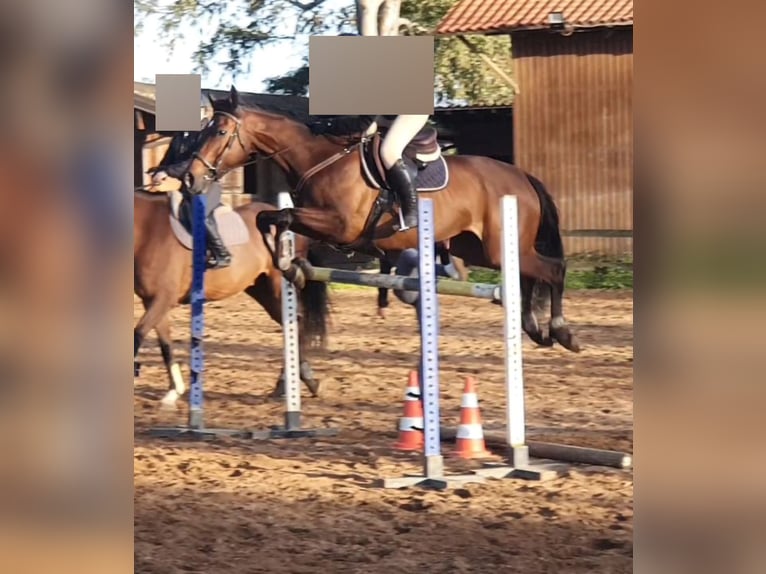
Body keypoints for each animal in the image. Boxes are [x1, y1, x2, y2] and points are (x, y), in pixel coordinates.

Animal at [185, 87, 580, 352]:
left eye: (219, 132)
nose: (190, 178)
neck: (319, 159)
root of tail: (522, 176)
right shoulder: (318, 224)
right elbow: (271, 217)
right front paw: (290, 265)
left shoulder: (341, 227)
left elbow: (280, 215)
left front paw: (289, 264)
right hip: (479, 248)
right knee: (529, 273)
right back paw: (535, 329)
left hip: (498, 247)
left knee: (552, 269)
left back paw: (561, 332)